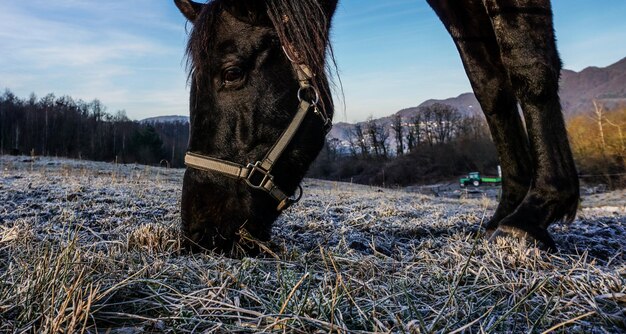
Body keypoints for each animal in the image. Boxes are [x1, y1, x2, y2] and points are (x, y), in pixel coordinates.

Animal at [173, 0, 576, 253]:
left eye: (232, 73)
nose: (199, 233)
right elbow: (489, 86)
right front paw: (507, 208)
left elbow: (527, 62)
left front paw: (535, 210)